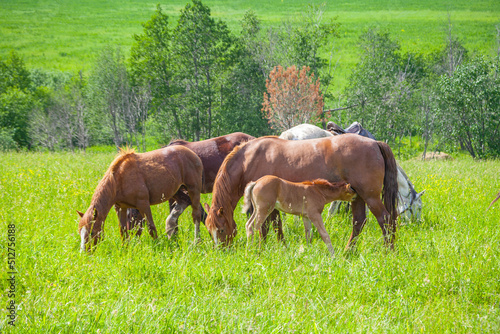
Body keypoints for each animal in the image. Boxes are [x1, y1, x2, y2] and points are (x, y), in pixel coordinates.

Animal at [204, 134, 398, 250]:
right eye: (209, 230)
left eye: (221, 229)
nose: (221, 251)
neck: (249, 159)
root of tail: (374, 143)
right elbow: (274, 225)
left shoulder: (267, 205)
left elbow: (268, 226)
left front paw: (264, 248)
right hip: (357, 197)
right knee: (359, 222)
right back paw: (348, 252)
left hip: (370, 196)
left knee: (385, 220)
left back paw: (388, 252)